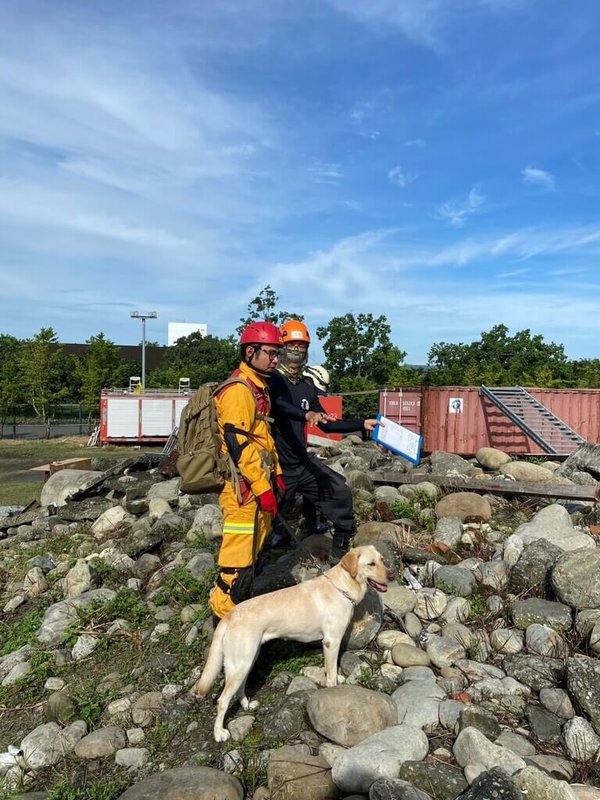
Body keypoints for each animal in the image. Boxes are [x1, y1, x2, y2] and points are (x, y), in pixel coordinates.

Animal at [190, 548, 392, 740]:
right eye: (371, 564)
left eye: (382, 559)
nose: (392, 576)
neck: (342, 585)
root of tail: (229, 616)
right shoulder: (331, 641)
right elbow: (332, 673)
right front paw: (333, 687)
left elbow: (331, 670)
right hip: (241, 663)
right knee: (222, 701)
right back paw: (219, 733)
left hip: (248, 659)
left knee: (239, 688)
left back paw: (247, 706)